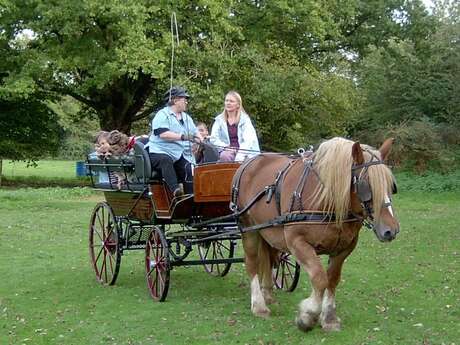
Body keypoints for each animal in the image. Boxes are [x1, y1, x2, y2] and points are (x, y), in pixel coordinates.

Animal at [234, 136, 398, 330]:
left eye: (391, 185)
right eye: (366, 185)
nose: (391, 230)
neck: (327, 202)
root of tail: (248, 163)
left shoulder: (344, 248)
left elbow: (332, 279)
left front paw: (329, 317)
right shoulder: (297, 242)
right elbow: (320, 278)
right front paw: (308, 315)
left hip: (266, 230)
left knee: (268, 258)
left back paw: (267, 295)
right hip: (248, 227)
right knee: (252, 263)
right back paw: (259, 305)